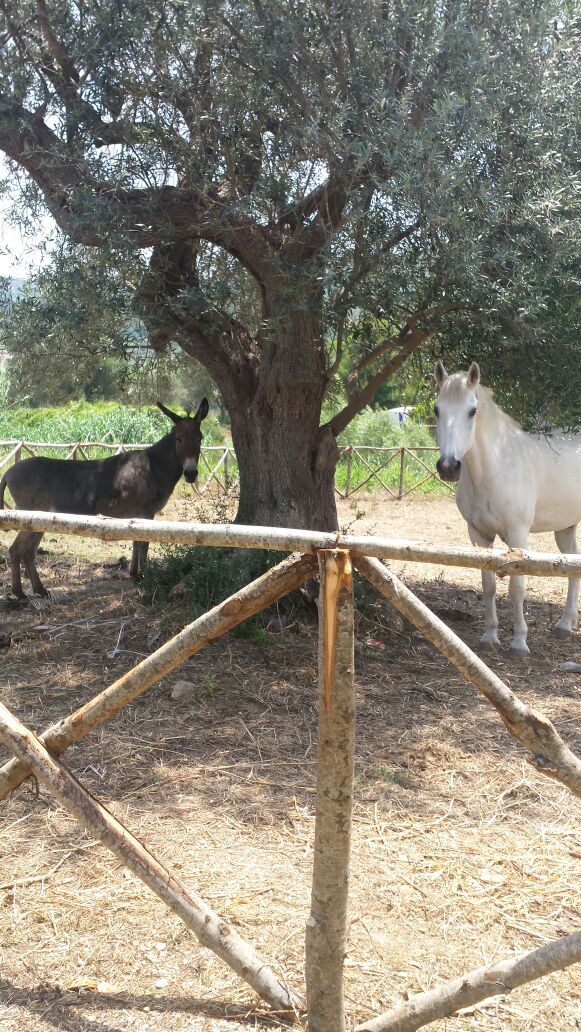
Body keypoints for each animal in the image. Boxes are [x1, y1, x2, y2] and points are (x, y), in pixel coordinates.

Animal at [433, 359, 577, 656]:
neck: (495, 468)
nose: (448, 467)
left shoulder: (518, 535)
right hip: (565, 527)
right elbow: (488, 585)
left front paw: (519, 642)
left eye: (472, 410)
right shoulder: (478, 536)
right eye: (436, 409)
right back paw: (564, 625)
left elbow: (516, 587)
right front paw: (490, 637)